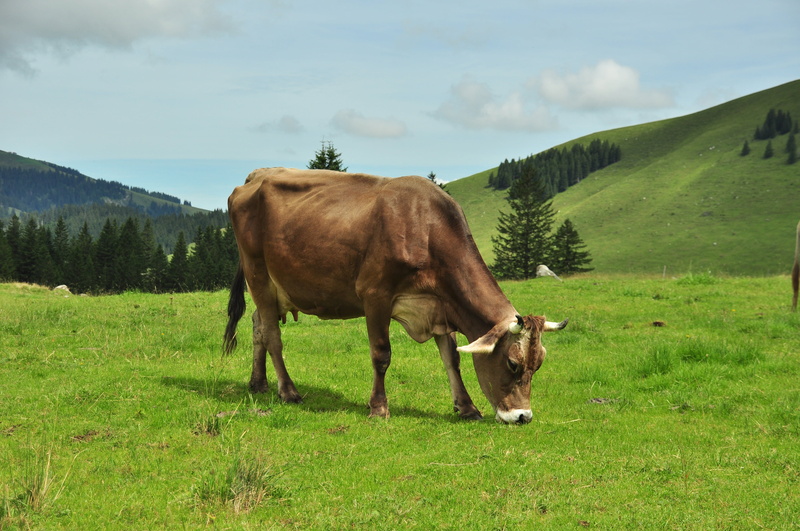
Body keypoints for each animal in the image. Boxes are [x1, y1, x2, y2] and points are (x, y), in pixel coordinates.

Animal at [223, 167, 567, 424]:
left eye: (539, 363)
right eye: (512, 363)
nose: (523, 416)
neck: (425, 230)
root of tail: (255, 176)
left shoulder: (439, 305)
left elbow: (452, 358)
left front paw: (466, 406)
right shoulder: (375, 295)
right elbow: (381, 354)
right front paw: (378, 407)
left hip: (271, 287)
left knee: (257, 325)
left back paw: (258, 383)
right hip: (258, 273)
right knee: (272, 334)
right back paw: (288, 390)